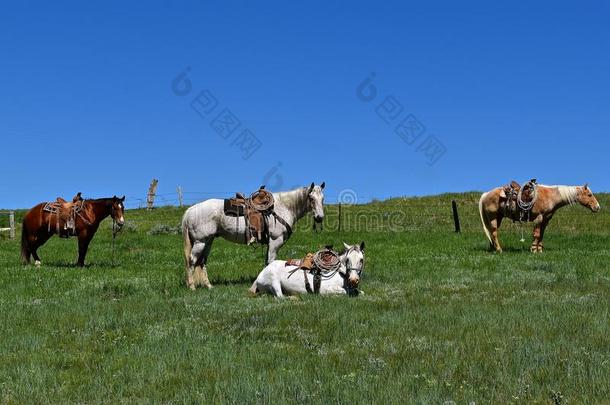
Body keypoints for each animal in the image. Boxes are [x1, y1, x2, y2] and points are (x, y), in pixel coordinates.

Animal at [180, 183, 324, 290]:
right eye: (311, 198)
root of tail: (190, 210)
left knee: (202, 262)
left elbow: (266, 262)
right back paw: (192, 286)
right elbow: (271, 262)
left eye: (322, 199)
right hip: (200, 242)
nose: (319, 217)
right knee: (192, 260)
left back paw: (209, 286)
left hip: (208, 242)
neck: (283, 207)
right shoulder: (275, 241)